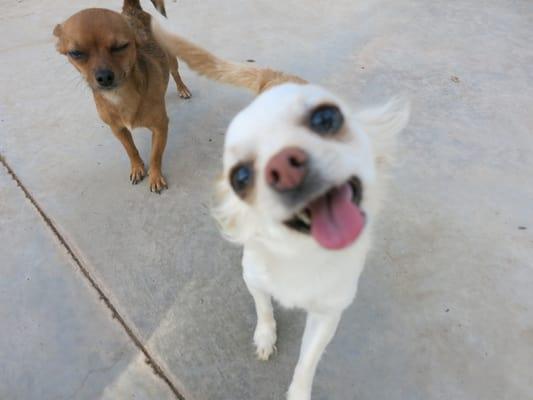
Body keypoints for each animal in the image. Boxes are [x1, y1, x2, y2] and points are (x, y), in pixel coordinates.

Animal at [54, 0, 190, 194]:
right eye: (76, 53)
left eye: (120, 46)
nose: (104, 77)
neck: (120, 96)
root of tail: (132, 10)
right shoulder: (118, 130)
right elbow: (130, 149)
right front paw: (137, 167)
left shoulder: (160, 127)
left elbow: (155, 155)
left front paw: (155, 176)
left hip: (170, 58)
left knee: (175, 73)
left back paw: (183, 89)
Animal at [149, 10, 408, 400]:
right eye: (240, 175)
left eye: (326, 118)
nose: (285, 166)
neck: (301, 252)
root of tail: (277, 76)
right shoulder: (254, 278)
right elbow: (265, 309)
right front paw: (265, 337)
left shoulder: (328, 313)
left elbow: (307, 362)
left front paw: (298, 391)